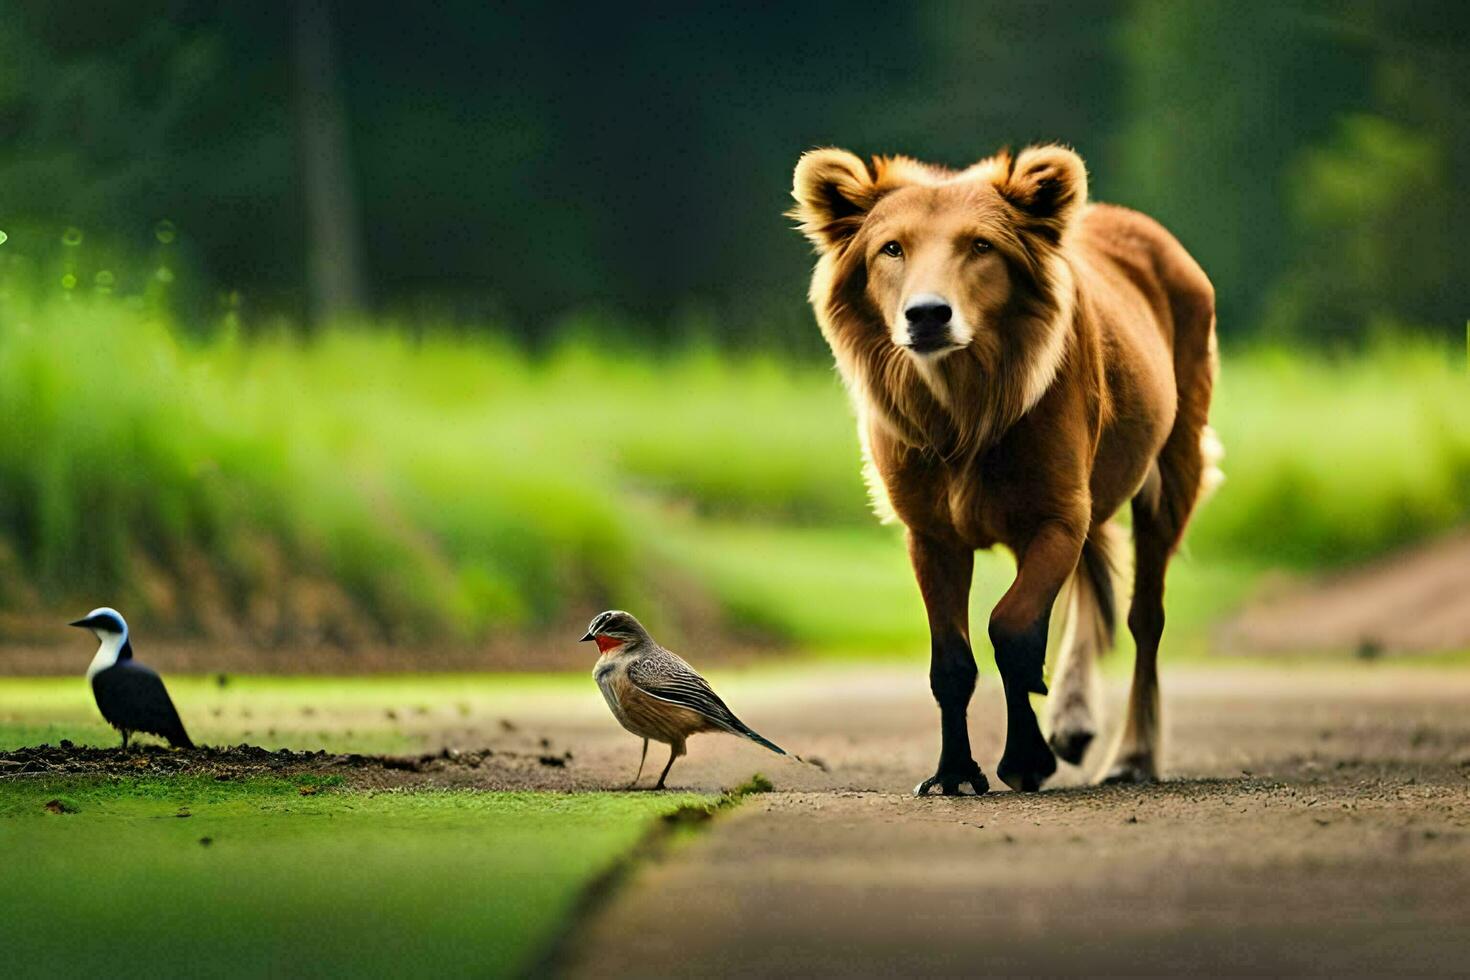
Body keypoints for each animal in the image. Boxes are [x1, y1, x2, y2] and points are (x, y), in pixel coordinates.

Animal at [793, 141, 1217, 793]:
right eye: (891, 248)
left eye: (980, 246)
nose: (927, 314)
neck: (963, 406)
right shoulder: (930, 532)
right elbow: (951, 660)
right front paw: (953, 772)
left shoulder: (1057, 514)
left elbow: (1013, 626)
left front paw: (1025, 758)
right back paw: (1073, 720)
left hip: (1175, 464)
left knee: (1145, 618)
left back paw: (1131, 754)